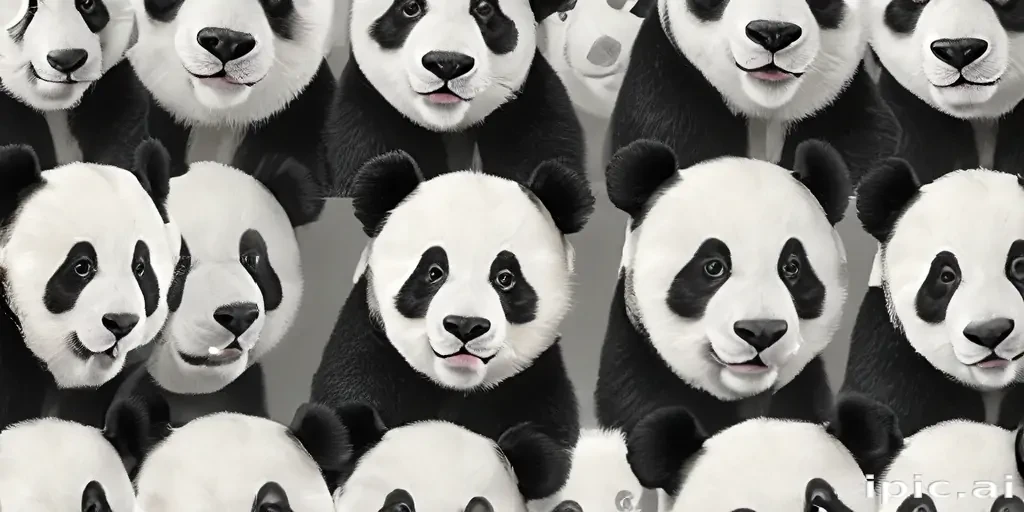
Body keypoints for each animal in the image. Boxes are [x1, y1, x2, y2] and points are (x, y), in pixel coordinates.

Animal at [310, 150, 594, 453]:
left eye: (505, 278)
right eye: (434, 272)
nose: (465, 326)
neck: (454, 384)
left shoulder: (533, 380)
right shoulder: (368, 347)